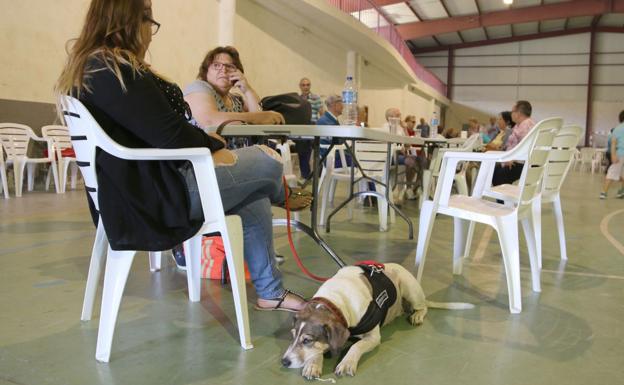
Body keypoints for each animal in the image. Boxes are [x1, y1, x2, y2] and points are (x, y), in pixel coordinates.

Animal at [280, 262, 470, 376]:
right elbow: (319, 350)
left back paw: (417, 314)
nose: (284, 361)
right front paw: (313, 363)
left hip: (410, 289)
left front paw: (347, 362)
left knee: (424, 307)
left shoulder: (373, 337)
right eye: (292, 335)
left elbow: (356, 346)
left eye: (307, 340)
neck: (336, 301)